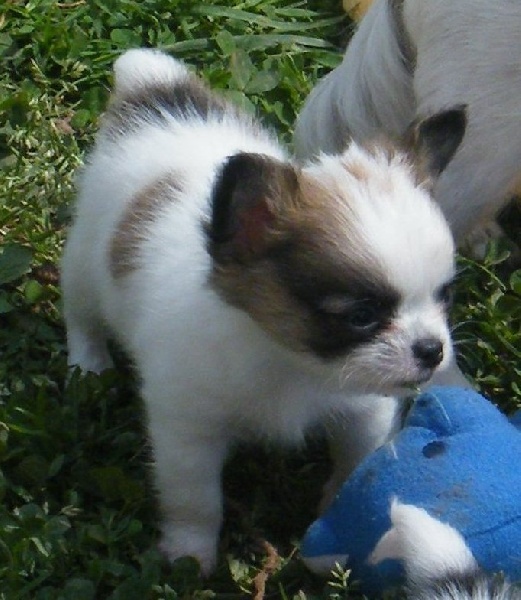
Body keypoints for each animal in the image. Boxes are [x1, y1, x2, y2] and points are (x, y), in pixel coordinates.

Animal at [61, 48, 465, 574]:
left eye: (444, 296)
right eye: (361, 315)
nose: (432, 350)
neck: (289, 362)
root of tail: (155, 96)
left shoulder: (362, 409)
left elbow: (356, 461)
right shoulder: (187, 427)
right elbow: (195, 499)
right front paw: (189, 554)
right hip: (85, 263)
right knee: (81, 312)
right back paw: (89, 363)